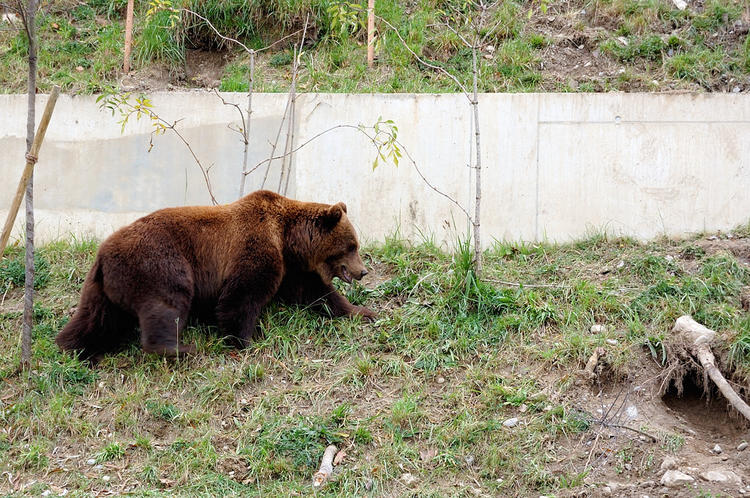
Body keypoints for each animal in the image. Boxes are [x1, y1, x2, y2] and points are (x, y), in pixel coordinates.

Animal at [55, 191, 376, 358]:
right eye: (351, 245)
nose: (362, 271)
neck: (288, 239)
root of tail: (104, 253)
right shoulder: (255, 247)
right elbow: (242, 295)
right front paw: (246, 338)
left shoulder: (291, 268)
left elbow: (316, 293)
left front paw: (362, 311)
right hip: (159, 263)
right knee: (167, 304)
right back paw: (177, 347)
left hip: (101, 288)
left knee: (96, 318)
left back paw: (72, 345)